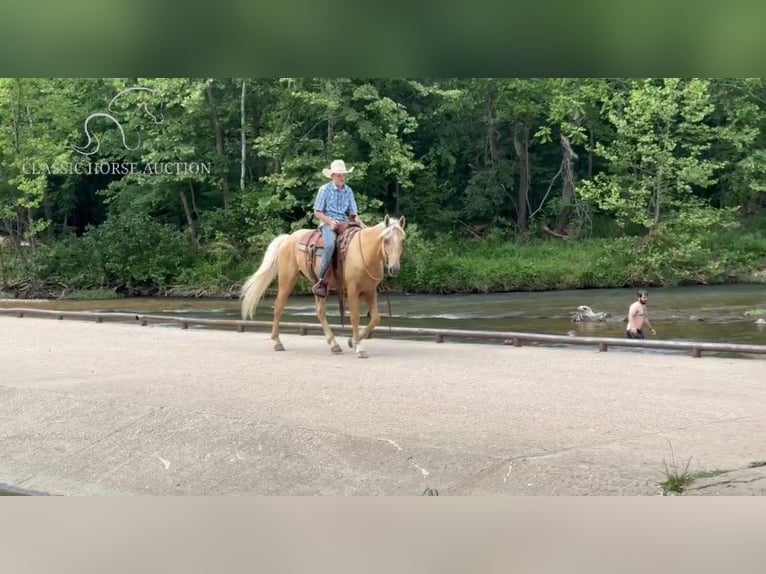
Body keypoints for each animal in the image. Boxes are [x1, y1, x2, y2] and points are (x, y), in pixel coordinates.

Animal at [242, 216, 408, 360]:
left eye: (402, 240)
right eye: (386, 240)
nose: (394, 269)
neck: (365, 254)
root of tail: (288, 238)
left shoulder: (370, 291)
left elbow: (375, 318)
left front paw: (351, 341)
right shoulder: (352, 290)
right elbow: (355, 317)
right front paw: (359, 347)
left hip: (319, 286)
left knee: (320, 311)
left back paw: (334, 344)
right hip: (286, 281)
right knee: (279, 307)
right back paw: (277, 342)